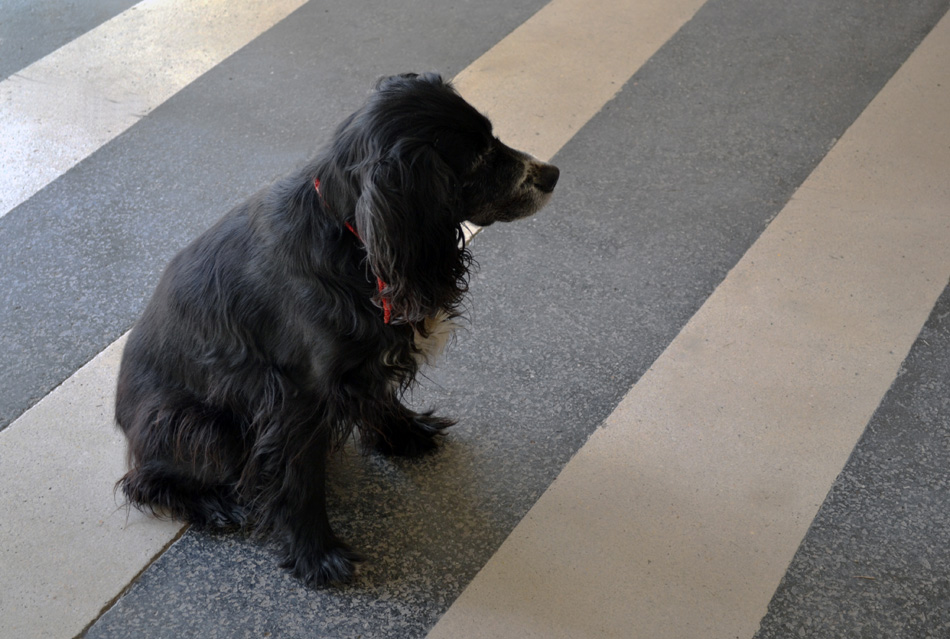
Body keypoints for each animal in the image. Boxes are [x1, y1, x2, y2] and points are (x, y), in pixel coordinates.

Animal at [115, 72, 559, 587]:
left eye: (493, 137)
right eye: (480, 157)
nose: (552, 174)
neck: (352, 239)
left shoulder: (362, 367)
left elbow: (381, 399)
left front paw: (405, 434)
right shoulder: (296, 393)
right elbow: (300, 480)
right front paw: (317, 555)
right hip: (199, 424)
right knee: (142, 481)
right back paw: (213, 503)